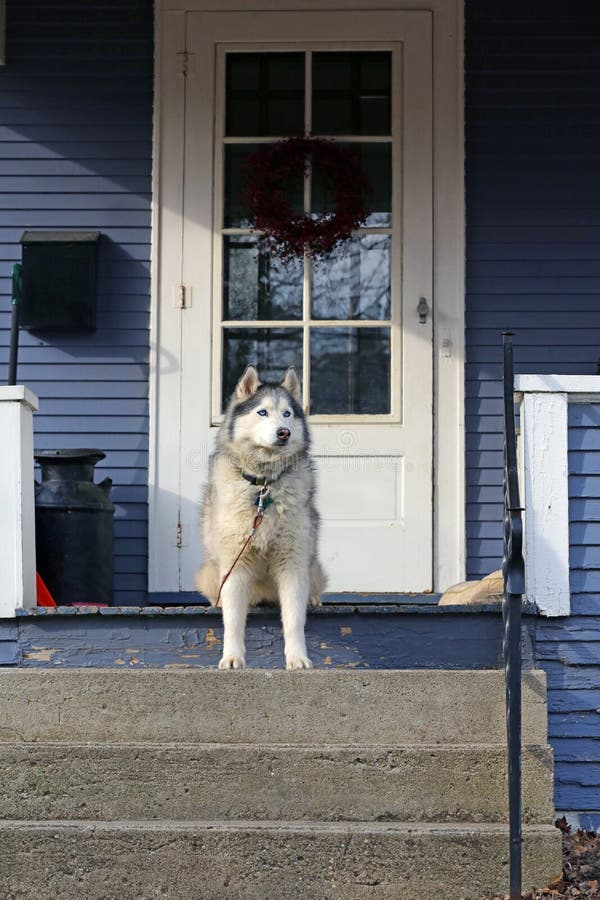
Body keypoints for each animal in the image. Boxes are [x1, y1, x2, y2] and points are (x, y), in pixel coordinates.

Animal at [196, 366, 328, 668]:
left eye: (287, 413)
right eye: (263, 412)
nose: (284, 432)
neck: (264, 486)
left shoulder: (293, 563)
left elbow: (294, 620)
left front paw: (297, 658)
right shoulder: (236, 564)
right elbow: (233, 620)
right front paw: (232, 657)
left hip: (312, 565)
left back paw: (314, 599)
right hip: (212, 570)